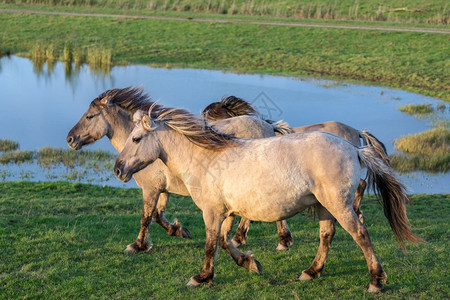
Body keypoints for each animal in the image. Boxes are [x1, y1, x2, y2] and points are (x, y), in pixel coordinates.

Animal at [65, 87, 294, 253]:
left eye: (90, 116)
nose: (70, 139)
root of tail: (267, 125)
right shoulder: (163, 190)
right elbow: (158, 215)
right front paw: (179, 230)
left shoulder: (151, 189)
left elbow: (146, 217)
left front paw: (138, 245)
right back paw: (242, 239)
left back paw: (278, 241)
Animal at [114, 104, 424, 292]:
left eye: (137, 139)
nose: (118, 169)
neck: (206, 159)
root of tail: (354, 148)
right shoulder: (228, 212)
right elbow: (225, 242)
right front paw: (250, 263)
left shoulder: (212, 212)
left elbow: (210, 245)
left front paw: (201, 277)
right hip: (324, 206)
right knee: (327, 235)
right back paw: (311, 271)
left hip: (338, 205)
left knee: (360, 234)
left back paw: (375, 280)